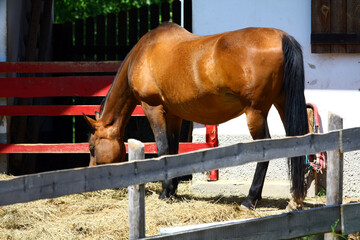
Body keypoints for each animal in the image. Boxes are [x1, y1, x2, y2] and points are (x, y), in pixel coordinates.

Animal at [83, 22, 308, 210]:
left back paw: (250, 199)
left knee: (265, 148)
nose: (92, 175)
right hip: (283, 103)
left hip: (255, 112)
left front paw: (165, 193)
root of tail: (282, 37)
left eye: (92, 147)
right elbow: (173, 150)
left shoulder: (152, 107)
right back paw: (294, 201)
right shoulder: (174, 114)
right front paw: (171, 191)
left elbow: (163, 148)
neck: (144, 53)